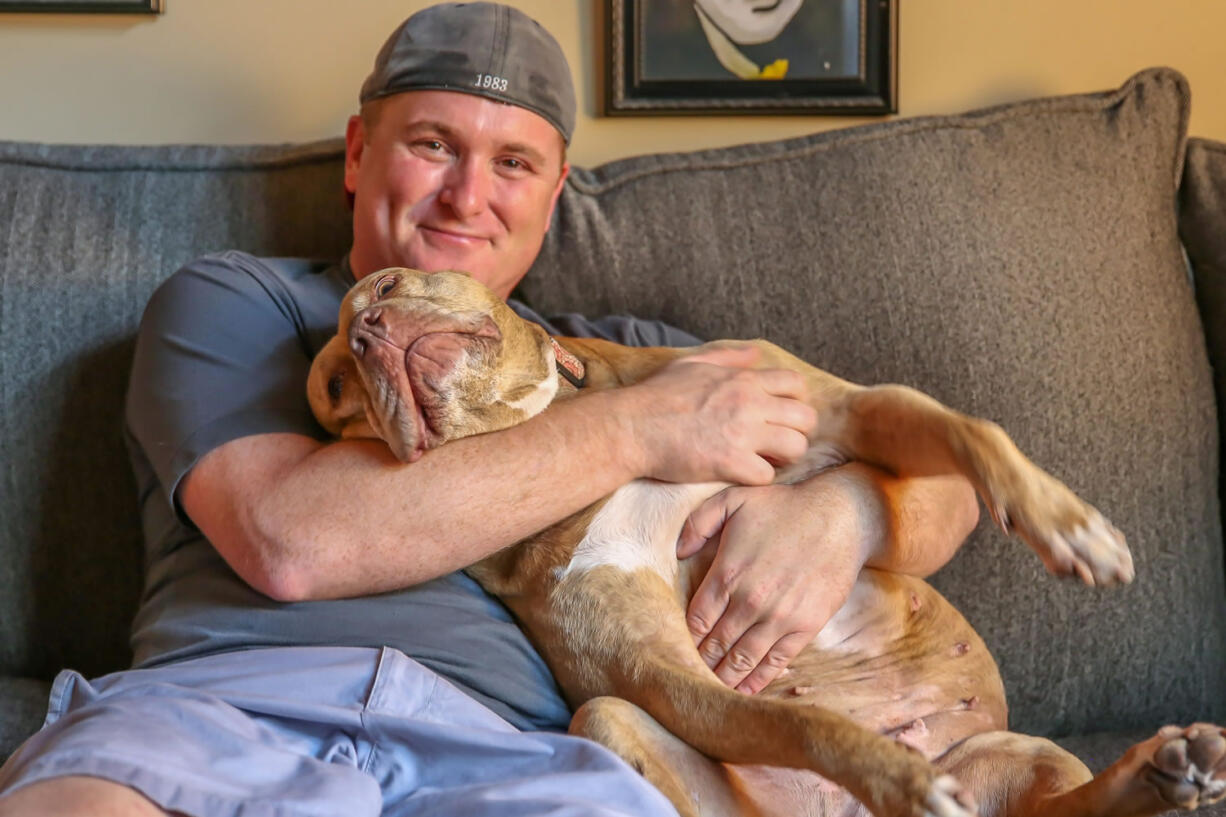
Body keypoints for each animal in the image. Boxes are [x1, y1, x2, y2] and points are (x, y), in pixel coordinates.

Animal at [306, 267, 1226, 814]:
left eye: (390, 278)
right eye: (336, 392)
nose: (368, 333)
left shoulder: (845, 408)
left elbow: (973, 429)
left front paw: (1073, 528)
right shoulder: (662, 676)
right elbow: (802, 722)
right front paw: (899, 778)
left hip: (1026, 751)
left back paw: (1161, 767)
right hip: (612, 721)